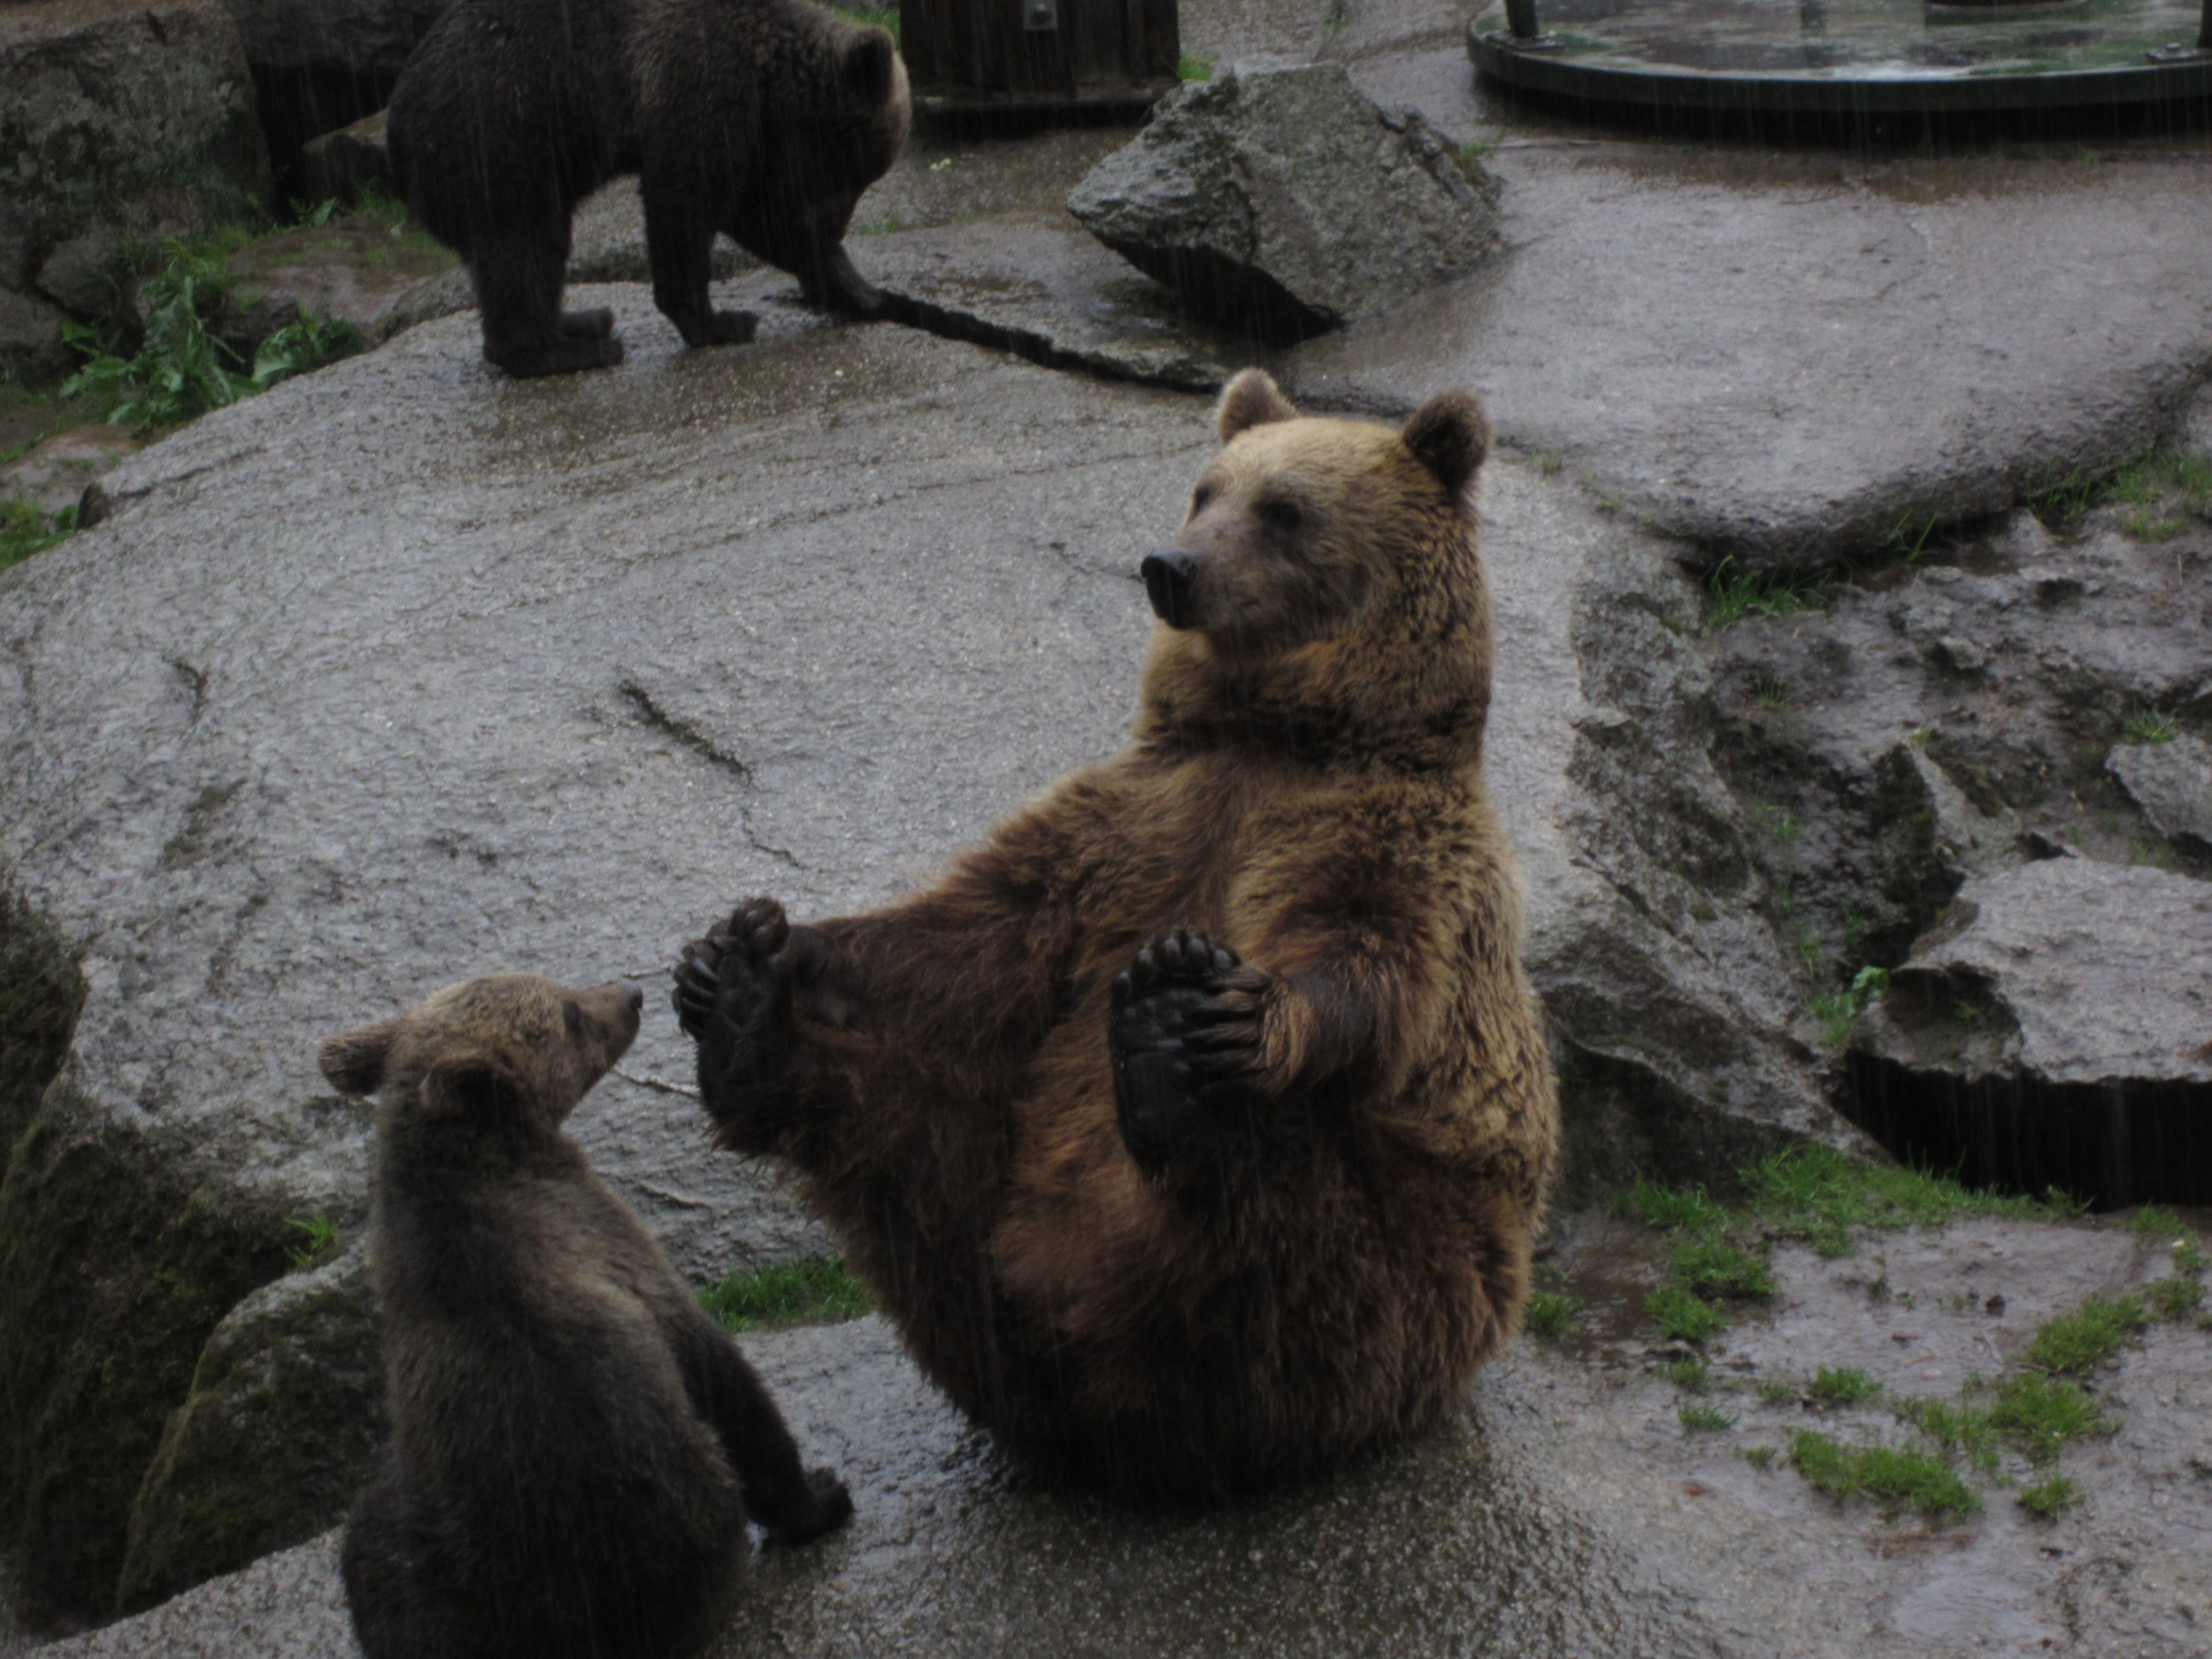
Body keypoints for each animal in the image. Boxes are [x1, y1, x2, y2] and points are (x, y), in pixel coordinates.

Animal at [323, 973, 849, 1659]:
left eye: (550, 981)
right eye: (568, 1016)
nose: (631, 995)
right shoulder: (609, 1239)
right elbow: (722, 1376)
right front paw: (819, 1495)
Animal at [387, 0, 907, 376]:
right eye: (857, 172)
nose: (838, 227)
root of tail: (396, 130)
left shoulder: (750, 135)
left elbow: (759, 216)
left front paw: (861, 291)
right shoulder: (698, 85)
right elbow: (684, 202)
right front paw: (722, 321)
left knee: (541, 250)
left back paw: (581, 321)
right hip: (504, 133)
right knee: (522, 243)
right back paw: (567, 352)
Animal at [672, 369, 1557, 1504]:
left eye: (1284, 509)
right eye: (1203, 489)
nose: (1169, 566)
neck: (1277, 731)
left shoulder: (1383, 840)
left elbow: (1364, 962)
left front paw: (1230, 1003)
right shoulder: (1124, 825)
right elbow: (973, 933)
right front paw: (755, 945)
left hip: (1413, 1285)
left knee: (1279, 1225)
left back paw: (1168, 1066)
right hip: (984, 1192)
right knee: (900, 1128)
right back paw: (746, 1027)